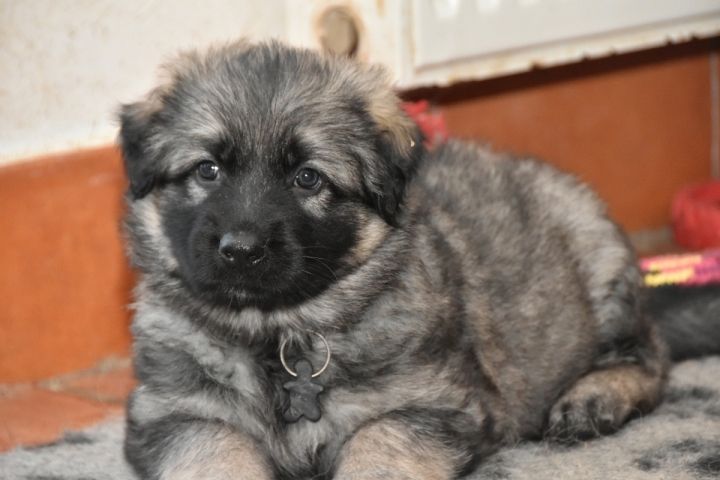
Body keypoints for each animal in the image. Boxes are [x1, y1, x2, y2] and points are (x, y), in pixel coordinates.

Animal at [119, 40, 718, 480]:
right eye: (207, 170)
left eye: (307, 178)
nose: (240, 250)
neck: (279, 333)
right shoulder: (177, 413)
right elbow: (214, 453)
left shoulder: (428, 406)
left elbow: (378, 447)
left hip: (598, 260)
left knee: (650, 357)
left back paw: (592, 398)